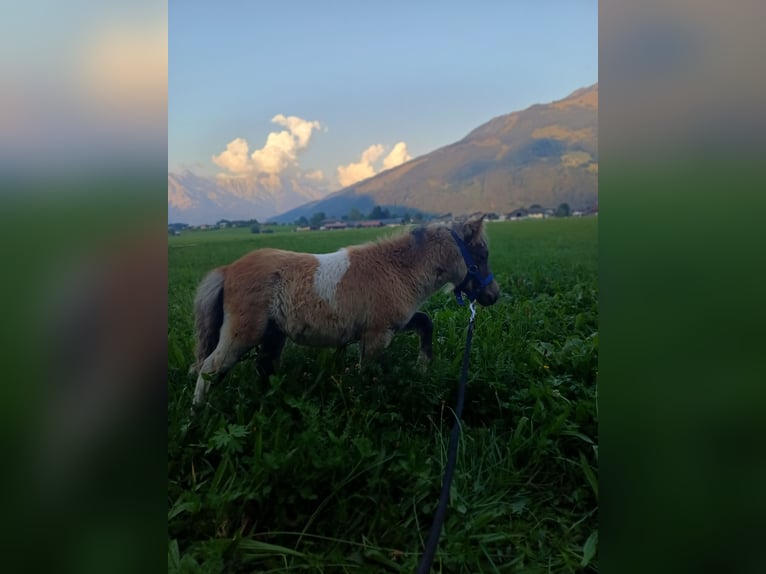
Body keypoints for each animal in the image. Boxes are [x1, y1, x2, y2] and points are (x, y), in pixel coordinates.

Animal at [191, 214, 500, 408]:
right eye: (482, 254)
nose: (493, 295)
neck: (397, 269)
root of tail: (227, 270)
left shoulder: (395, 324)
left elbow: (425, 323)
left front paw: (423, 366)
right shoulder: (376, 335)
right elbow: (367, 373)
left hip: (272, 335)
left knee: (263, 368)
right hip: (243, 333)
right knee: (211, 367)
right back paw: (197, 414)